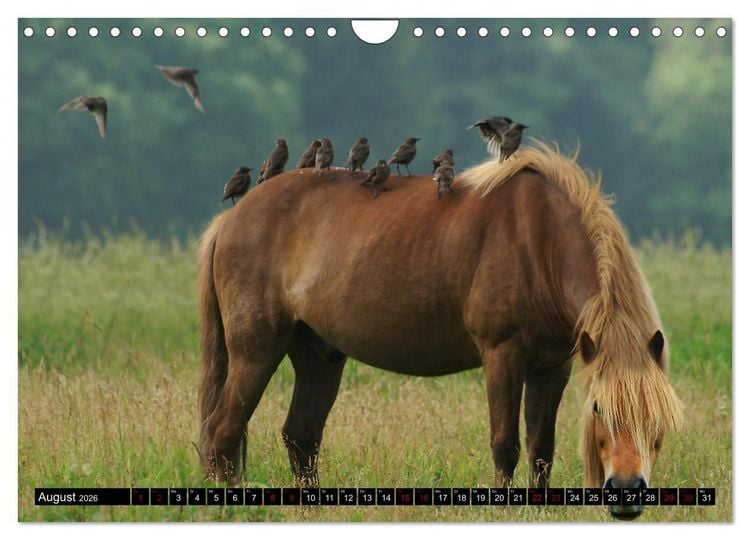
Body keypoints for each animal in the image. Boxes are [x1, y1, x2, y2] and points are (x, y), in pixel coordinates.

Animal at [197, 141, 683, 519]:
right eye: (599, 408)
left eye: (659, 416)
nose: (627, 491)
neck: (539, 239)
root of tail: (231, 219)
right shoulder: (503, 356)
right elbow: (505, 443)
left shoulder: (552, 367)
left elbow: (541, 447)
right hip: (256, 350)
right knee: (223, 431)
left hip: (320, 356)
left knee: (300, 437)